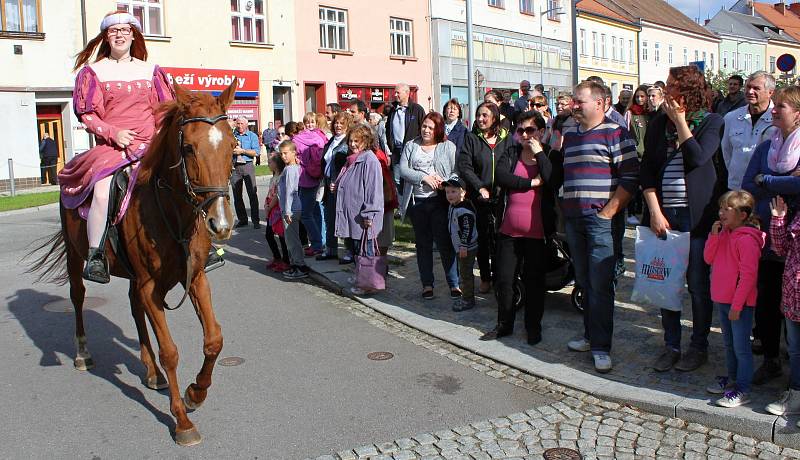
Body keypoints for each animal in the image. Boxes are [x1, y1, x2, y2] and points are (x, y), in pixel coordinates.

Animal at [28, 81, 241, 444]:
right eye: (188, 148)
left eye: (231, 145)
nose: (221, 223)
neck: (172, 214)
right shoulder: (150, 285)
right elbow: (170, 351)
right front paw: (182, 421)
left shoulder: (195, 278)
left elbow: (214, 340)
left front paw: (195, 392)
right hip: (74, 254)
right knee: (77, 296)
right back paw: (83, 353)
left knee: (134, 307)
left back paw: (151, 371)